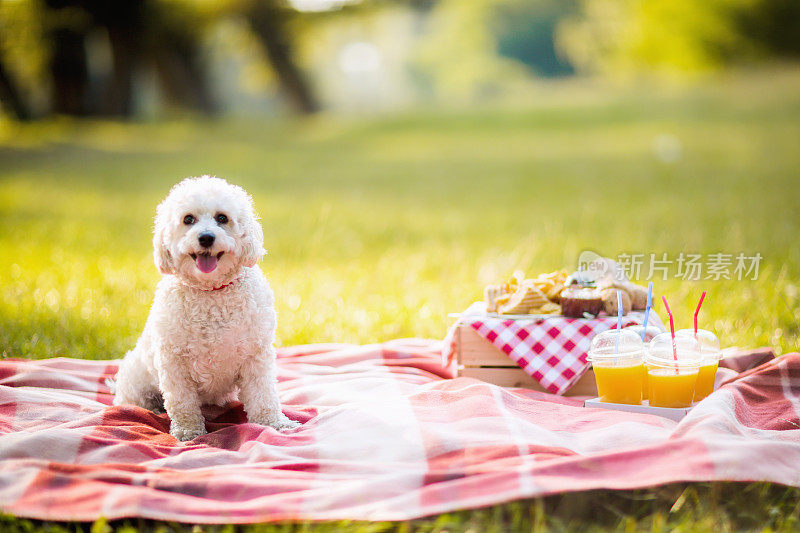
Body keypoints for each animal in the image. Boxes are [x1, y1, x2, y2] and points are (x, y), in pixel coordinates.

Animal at [113, 176, 300, 440]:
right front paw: (188, 432)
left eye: (222, 217)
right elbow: (182, 403)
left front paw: (275, 423)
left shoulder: (256, 356)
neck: (211, 292)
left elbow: (264, 395)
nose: (206, 238)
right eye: (188, 219)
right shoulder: (174, 363)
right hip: (136, 380)